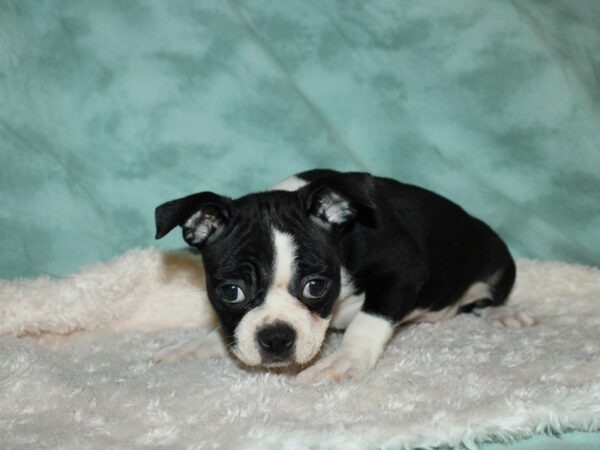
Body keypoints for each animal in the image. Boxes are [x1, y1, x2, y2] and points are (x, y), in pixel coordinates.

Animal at [155, 170, 528, 384]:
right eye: (231, 292)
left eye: (316, 286)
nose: (276, 338)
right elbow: (227, 331)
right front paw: (199, 346)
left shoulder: (402, 270)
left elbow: (369, 321)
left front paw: (344, 361)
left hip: (499, 261)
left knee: (487, 297)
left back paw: (503, 312)